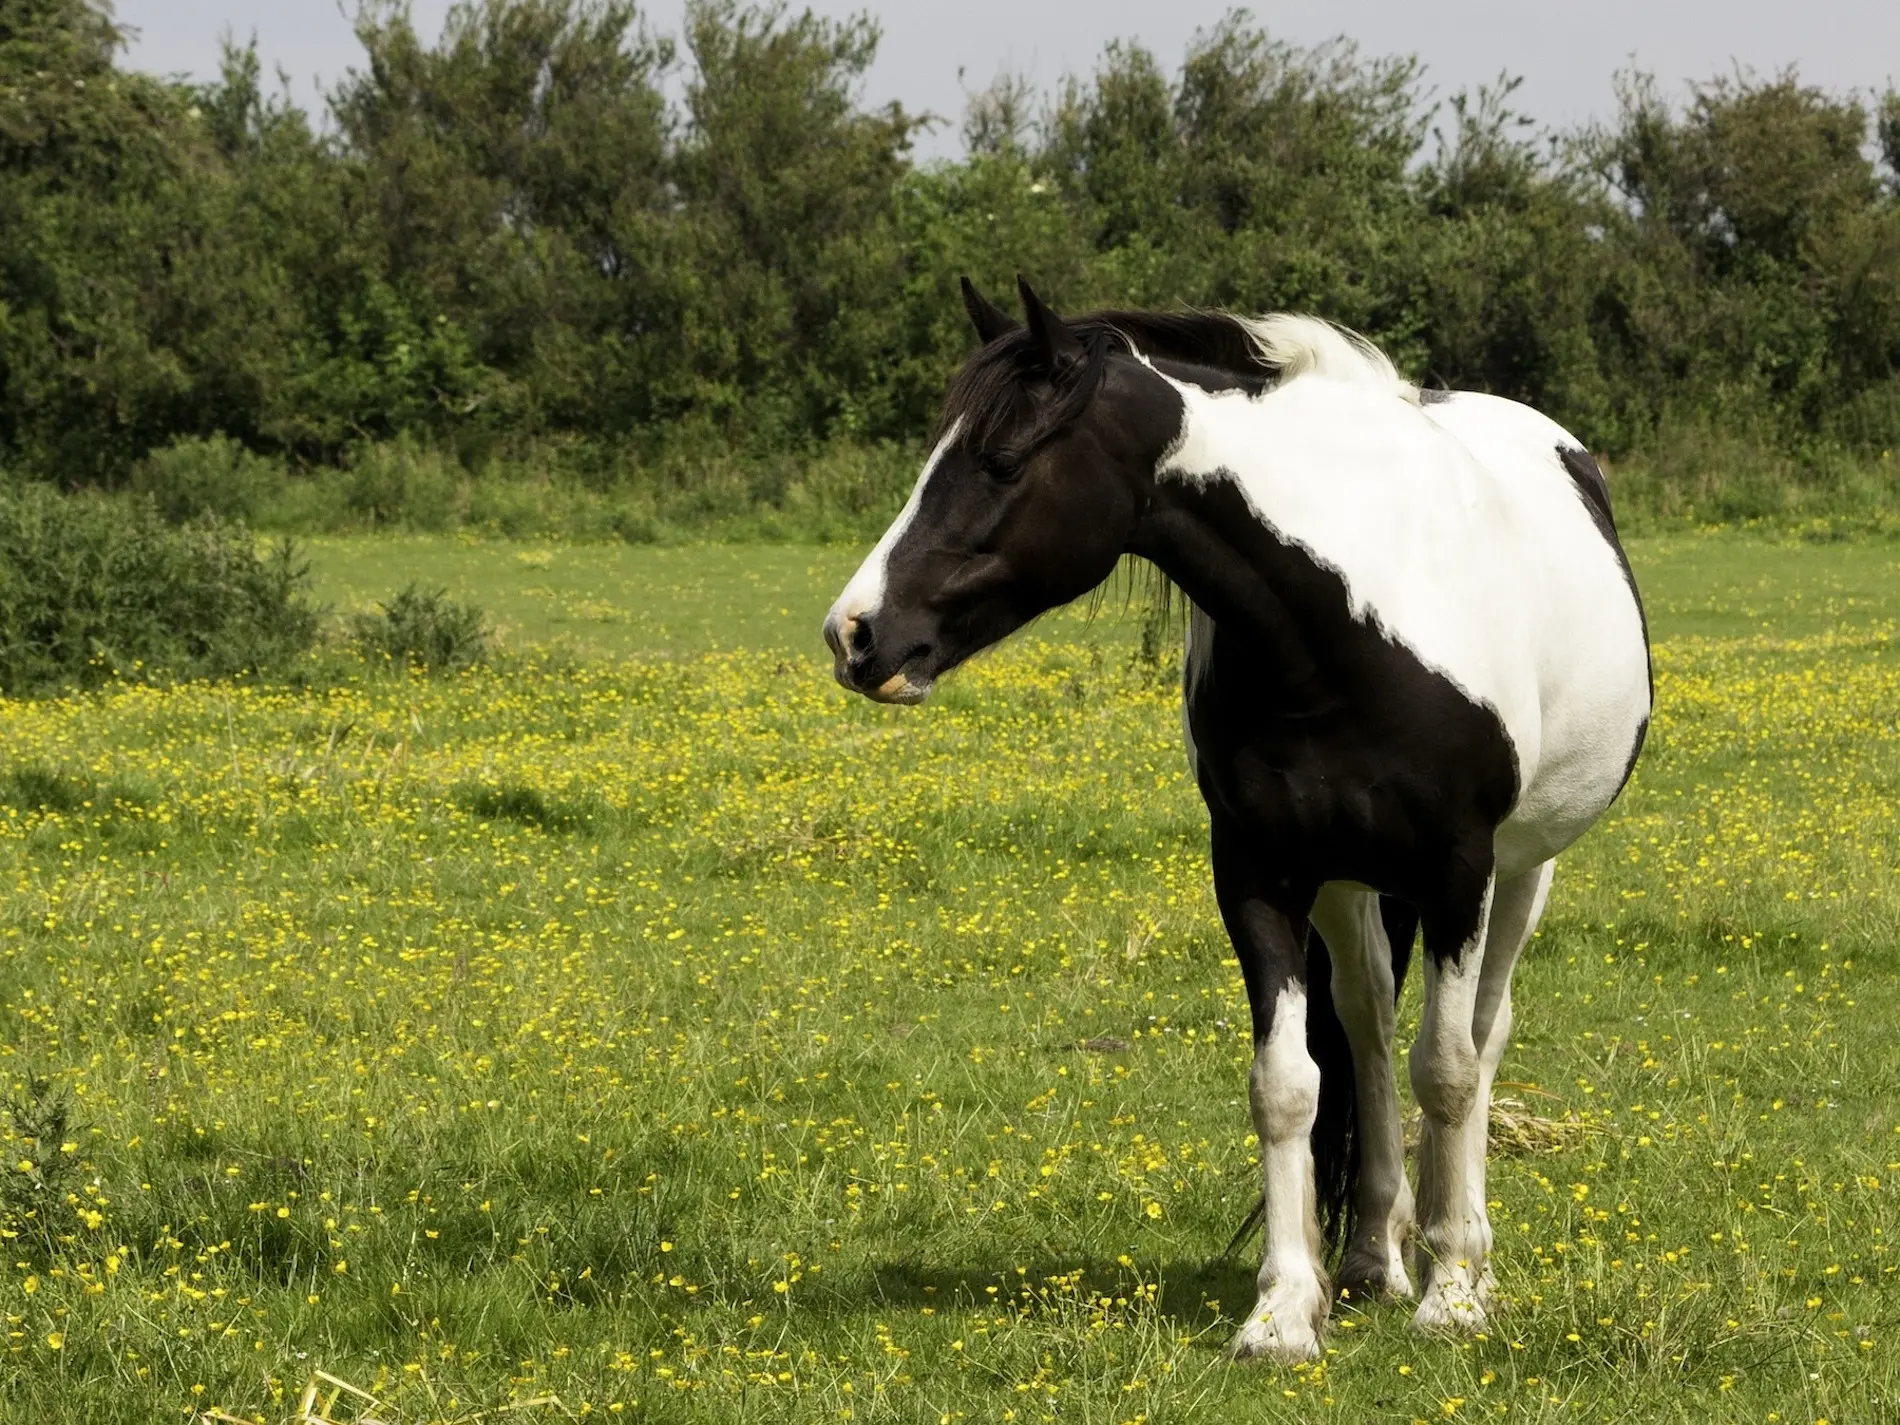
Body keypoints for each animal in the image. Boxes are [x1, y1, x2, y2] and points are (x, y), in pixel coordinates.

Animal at [820, 275, 1649, 1360]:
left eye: (1001, 458)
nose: (855, 634)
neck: (1351, 619)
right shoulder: (1258, 872)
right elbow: (1288, 1083)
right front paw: (1284, 1309)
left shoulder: (1458, 867)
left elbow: (1450, 1069)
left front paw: (1457, 1294)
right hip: (1346, 882)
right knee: (1371, 1022)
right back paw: (1374, 1255)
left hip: (1521, 871)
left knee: (1480, 1032)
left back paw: (1454, 1253)